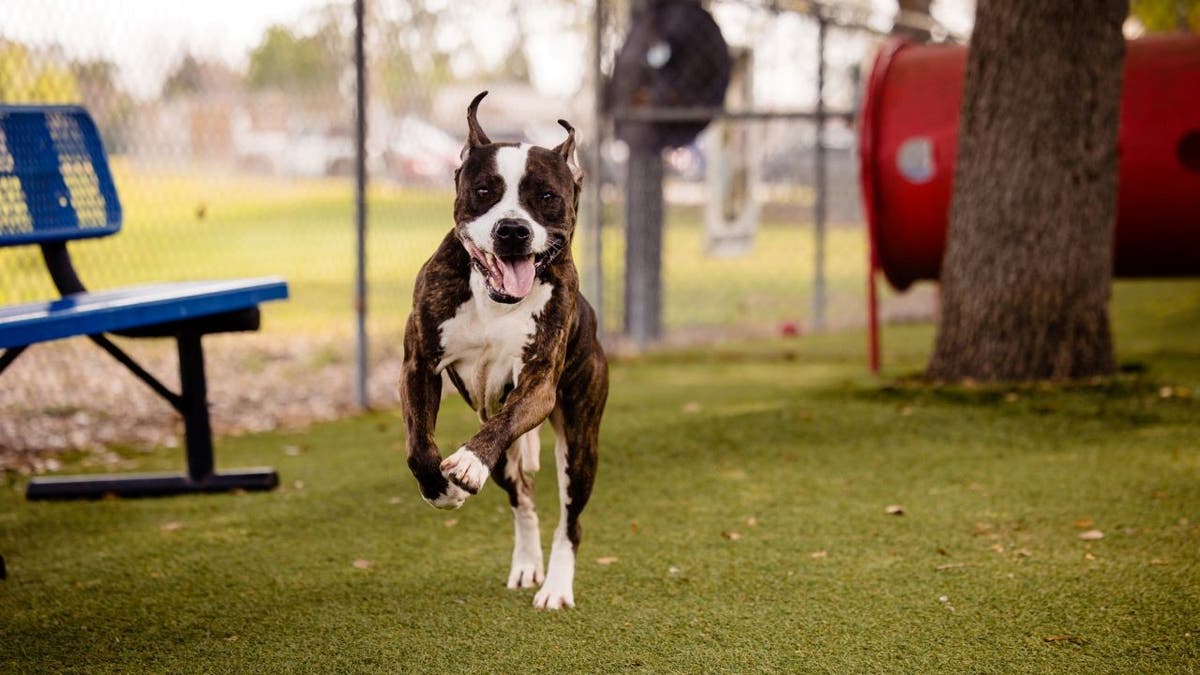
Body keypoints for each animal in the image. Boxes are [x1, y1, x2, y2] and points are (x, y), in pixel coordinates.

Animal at [400, 90, 609, 610]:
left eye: (547, 197)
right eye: (484, 191)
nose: (512, 229)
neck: (497, 299)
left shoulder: (537, 386)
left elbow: (507, 418)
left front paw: (468, 462)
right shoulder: (419, 366)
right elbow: (419, 447)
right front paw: (442, 490)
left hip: (580, 445)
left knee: (570, 521)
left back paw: (555, 586)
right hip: (509, 463)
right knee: (524, 499)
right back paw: (528, 564)